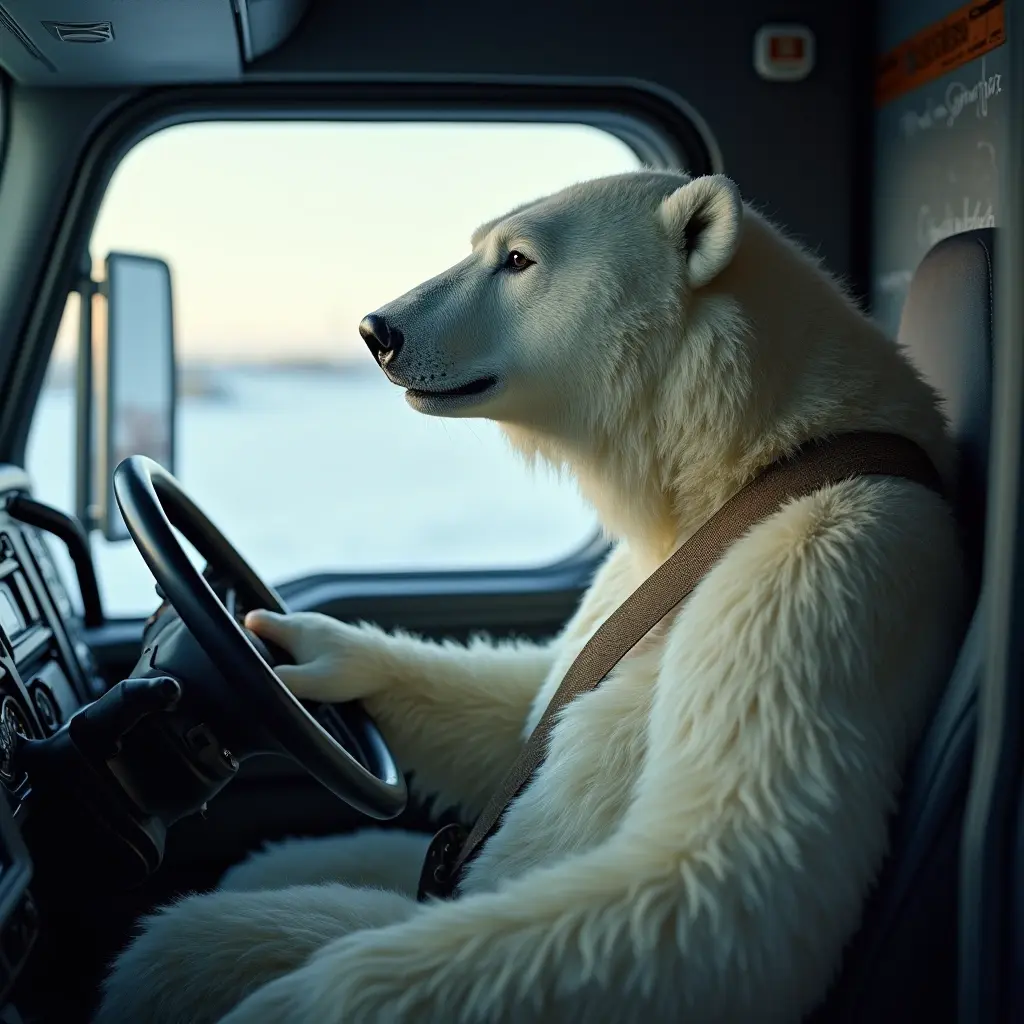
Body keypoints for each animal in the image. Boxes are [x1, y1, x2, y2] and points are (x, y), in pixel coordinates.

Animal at [95, 170, 965, 1024]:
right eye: (476, 242)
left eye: (517, 259)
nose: (377, 330)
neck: (746, 455)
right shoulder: (622, 573)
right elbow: (522, 707)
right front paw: (299, 646)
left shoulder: (818, 563)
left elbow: (720, 878)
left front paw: (289, 1006)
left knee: (213, 939)